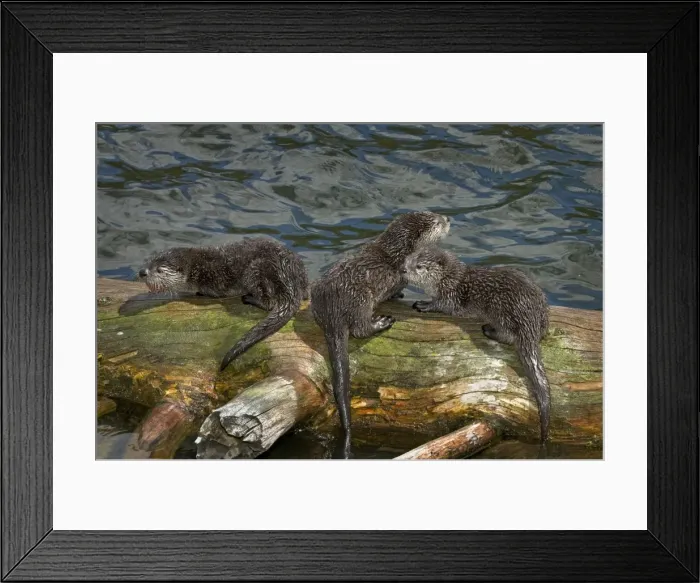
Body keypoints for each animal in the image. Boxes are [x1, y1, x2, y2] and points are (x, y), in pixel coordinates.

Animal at [138, 238, 309, 372]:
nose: (142, 272)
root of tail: (288, 275)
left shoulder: (214, 280)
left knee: (269, 302)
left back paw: (248, 298)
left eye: (159, 270)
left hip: (255, 271)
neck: (198, 267)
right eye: (150, 262)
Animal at [311, 212, 451, 458]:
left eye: (437, 215)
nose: (449, 219)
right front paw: (396, 296)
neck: (397, 254)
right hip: (361, 300)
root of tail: (331, 311)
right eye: (437, 222)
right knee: (360, 328)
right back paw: (382, 322)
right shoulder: (401, 276)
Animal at [402, 246, 551, 442]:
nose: (403, 270)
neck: (449, 279)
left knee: (508, 336)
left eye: (419, 266)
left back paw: (488, 330)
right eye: (407, 259)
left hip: (499, 308)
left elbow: (441, 305)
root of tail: (530, 318)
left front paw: (423, 304)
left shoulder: (450, 295)